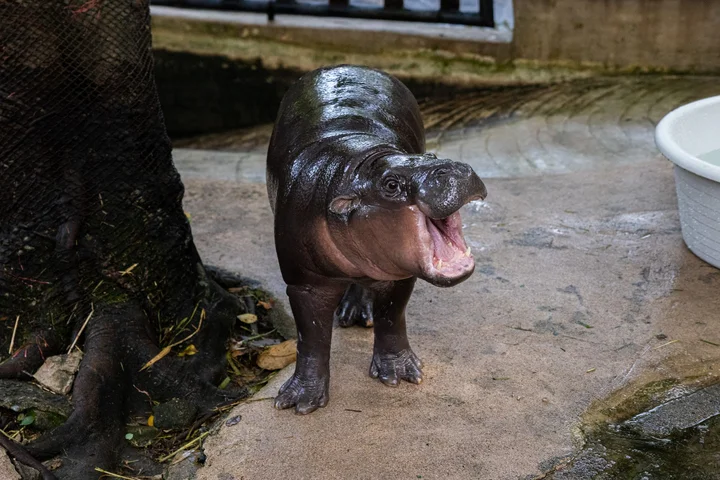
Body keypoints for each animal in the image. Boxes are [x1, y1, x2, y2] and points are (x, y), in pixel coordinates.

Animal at [266, 65, 487, 414]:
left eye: (431, 154)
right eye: (391, 184)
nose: (455, 169)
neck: (358, 165)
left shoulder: (400, 271)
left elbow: (392, 317)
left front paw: (401, 373)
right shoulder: (303, 282)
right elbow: (310, 337)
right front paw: (299, 401)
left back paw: (358, 313)